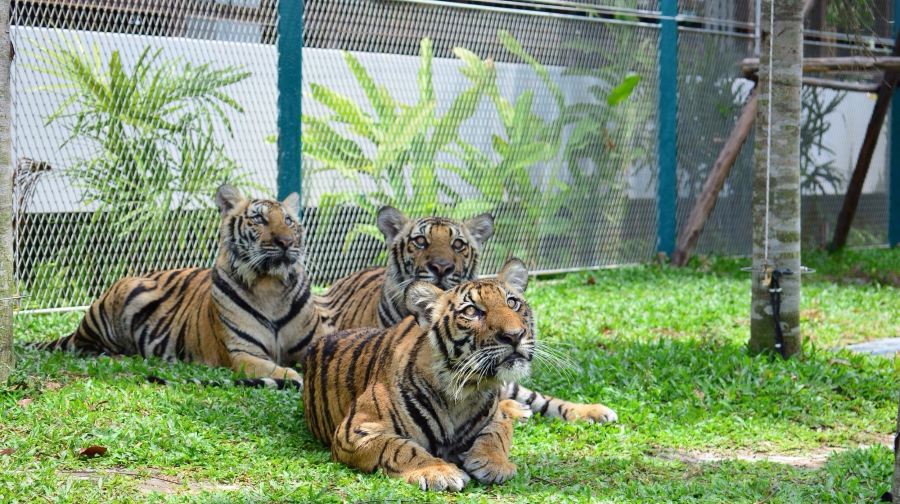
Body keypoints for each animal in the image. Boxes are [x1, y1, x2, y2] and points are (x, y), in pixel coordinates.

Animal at [30, 184, 323, 386]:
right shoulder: (242, 352)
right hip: (116, 302)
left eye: (288, 221)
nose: (286, 242)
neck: (269, 285)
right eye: (259, 219)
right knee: (88, 348)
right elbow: (275, 369)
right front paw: (292, 376)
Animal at [304, 259, 536, 491]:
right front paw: (438, 470)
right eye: (471, 311)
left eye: (513, 303)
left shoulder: (495, 416)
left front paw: (494, 463)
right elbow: (401, 448)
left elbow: (497, 433)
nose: (515, 335)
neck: (464, 391)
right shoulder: (356, 429)